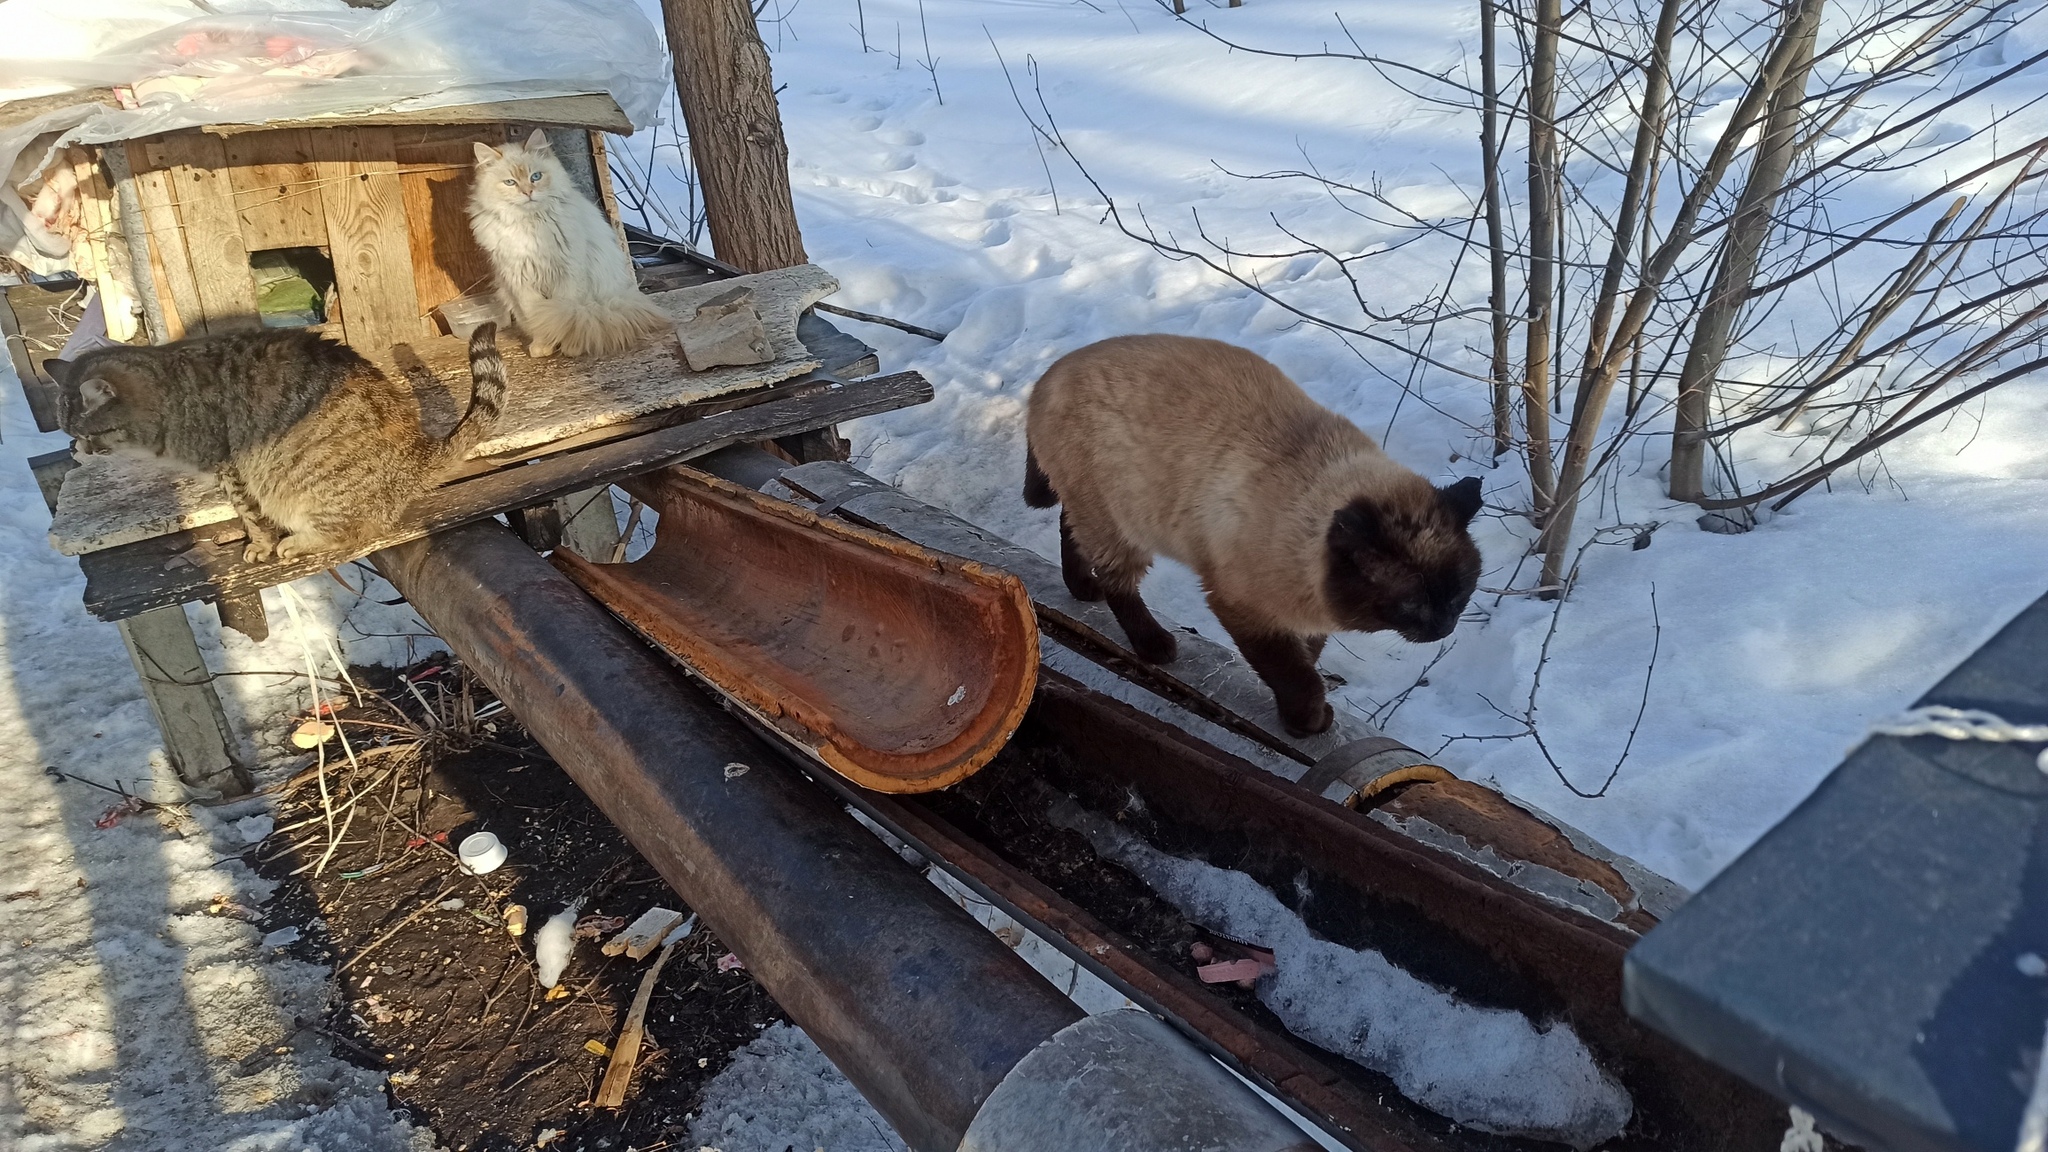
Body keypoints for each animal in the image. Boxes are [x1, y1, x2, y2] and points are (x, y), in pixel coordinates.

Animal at [466, 127, 671, 356]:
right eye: (510, 182)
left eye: (536, 176)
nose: (528, 192)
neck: (531, 225)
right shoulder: (520, 279)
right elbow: (538, 317)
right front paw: (542, 346)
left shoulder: (568, 273)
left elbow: (567, 316)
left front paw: (569, 345)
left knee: (587, 316)